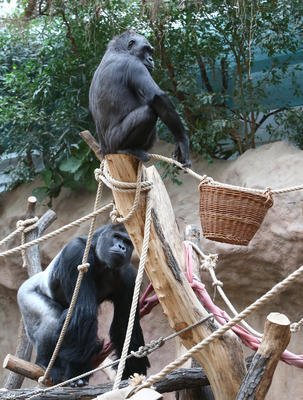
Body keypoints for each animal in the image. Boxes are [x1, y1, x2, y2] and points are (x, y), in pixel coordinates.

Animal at [17, 223, 149, 386]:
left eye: (128, 242)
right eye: (116, 237)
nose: (121, 247)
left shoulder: (129, 276)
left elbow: (124, 324)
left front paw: (132, 370)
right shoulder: (76, 252)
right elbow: (84, 312)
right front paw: (77, 372)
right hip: (25, 293)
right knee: (51, 317)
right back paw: (47, 363)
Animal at [89, 30, 191, 166]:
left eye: (151, 51)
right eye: (145, 49)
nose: (151, 59)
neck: (119, 50)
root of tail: (105, 152)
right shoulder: (134, 64)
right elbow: (157, 97)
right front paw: (182, 142)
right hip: (114, 142)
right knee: (147, 113)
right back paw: (126, 149)